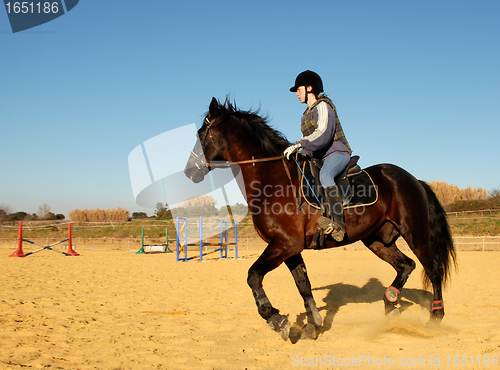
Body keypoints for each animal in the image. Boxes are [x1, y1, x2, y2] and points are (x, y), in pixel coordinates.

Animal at [185, 97, 458, 342]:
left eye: (201, 133)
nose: (189, 171)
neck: (272, 179)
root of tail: (413, 179)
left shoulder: (285, 244)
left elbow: (253, 275)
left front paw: (276, 319)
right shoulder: (290, 248)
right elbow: (303, 285)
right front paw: (312, 325)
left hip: (415, 234)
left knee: (432, 269)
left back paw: (436, 316)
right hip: (378, 240)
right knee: (406, 266)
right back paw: (390, 305)